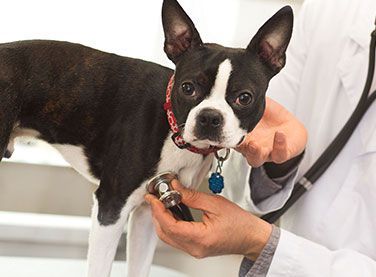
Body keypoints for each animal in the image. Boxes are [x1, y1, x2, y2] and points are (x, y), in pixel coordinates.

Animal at [0, 1, 294, 274]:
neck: (173, 130)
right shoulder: (111, 207)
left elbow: (139, 267)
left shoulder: (149, 210)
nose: (210, 117)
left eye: (244, 97)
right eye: (188, 88)